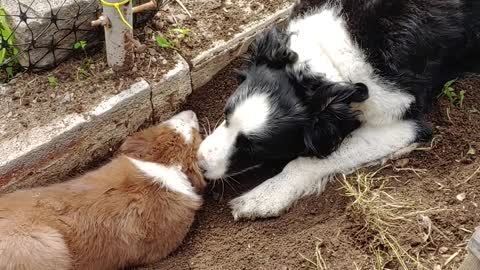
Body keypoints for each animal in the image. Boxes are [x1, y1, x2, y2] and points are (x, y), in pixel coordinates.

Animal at [196, 0, 480, 219]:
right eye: (225, 114)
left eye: (255, 148)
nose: (198, 163)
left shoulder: (405, 121)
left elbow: (309, 161)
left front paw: (263, 197)